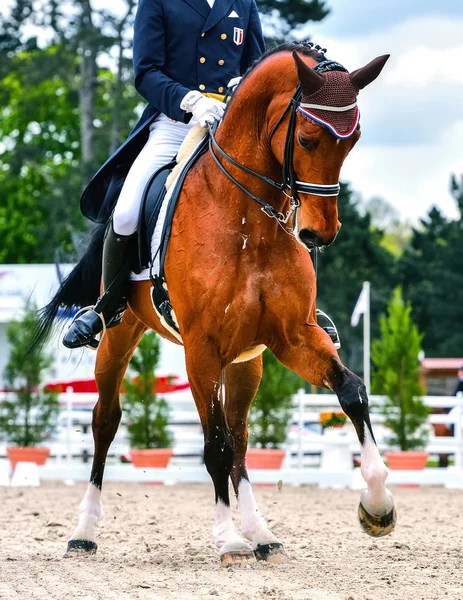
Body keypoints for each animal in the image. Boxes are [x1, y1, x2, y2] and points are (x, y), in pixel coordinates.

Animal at [34, 42, 396, 568]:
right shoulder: (200, 349)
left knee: (242, 436)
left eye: (353, 141)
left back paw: (262, 534)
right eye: (308, 140)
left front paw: (378, 504)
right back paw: (84, 532)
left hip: (247, 361)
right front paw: (227, 541)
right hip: (121, 335)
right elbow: (214, 448)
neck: (249, 221)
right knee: (106, 421)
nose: (319, 233)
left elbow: (351, 392)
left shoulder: (293, 337)